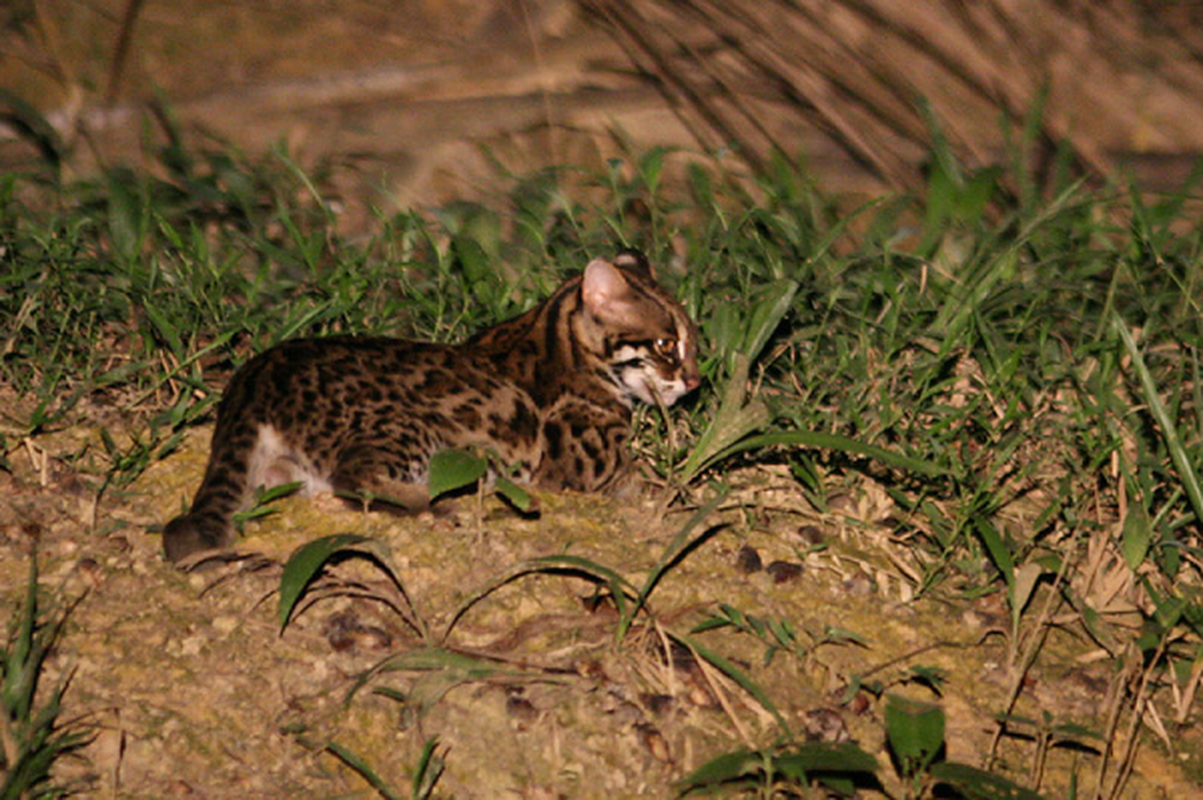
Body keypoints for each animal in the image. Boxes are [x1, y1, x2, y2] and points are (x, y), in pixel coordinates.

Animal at [164, 250, 702, 560]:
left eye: (693, 342)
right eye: (664, 345)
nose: (695, 381)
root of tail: (255, 374)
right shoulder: (583, 464)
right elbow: (640, 479)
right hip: (412, 428)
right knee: (353, 478)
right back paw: (434, 502)